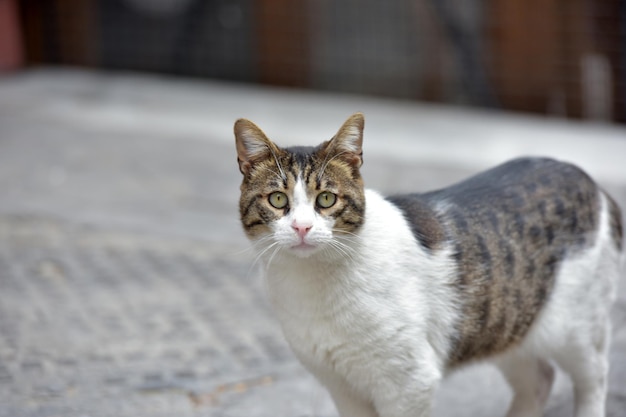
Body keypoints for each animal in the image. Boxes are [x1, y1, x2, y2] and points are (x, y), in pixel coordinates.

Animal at [233, 112, 620, 416]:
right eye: (277, 199)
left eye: (326, 199)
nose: (302, 227)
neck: (311, 286)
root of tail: (587, 178)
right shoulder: (342, 387)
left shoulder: (408, 383)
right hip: (507, 321)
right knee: (539, 378)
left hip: (577, 331)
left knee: (594, 377)